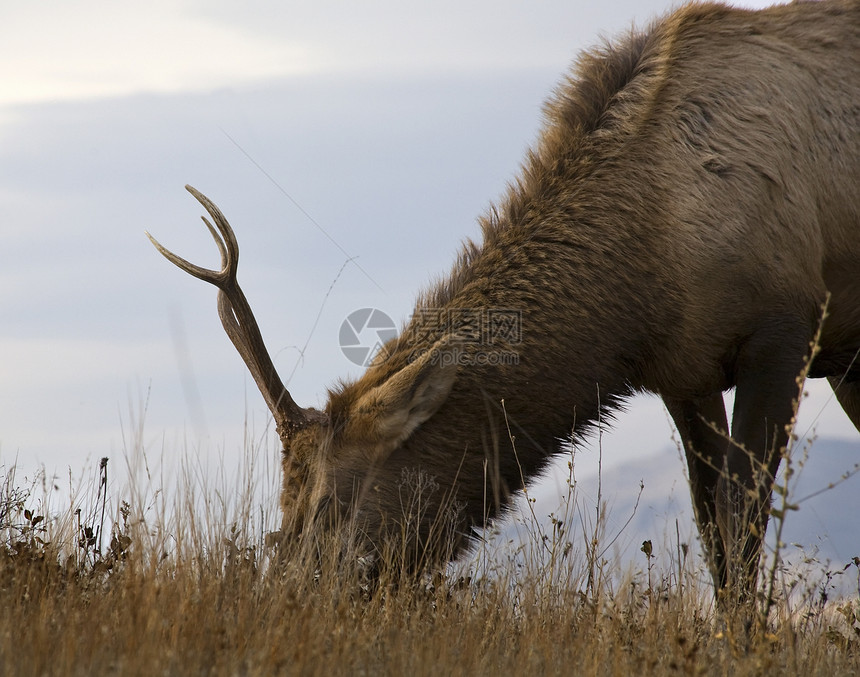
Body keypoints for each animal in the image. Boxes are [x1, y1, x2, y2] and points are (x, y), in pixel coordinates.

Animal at [148, 1, 860, 604]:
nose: (286, 596)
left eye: (327, 502)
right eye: (282, 502)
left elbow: (743, 526)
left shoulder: (782, 331)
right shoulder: (686, 373)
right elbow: (714, 536)